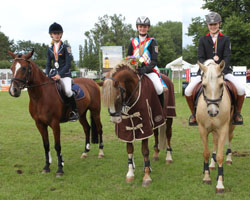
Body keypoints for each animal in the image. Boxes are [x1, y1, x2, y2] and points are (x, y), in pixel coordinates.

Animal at [197, 59, 234, 194]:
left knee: (230, 137)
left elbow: (220, 156)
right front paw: (206, 177)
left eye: (221, 85)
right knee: (214, 141)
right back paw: (212, 165)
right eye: (204, 86)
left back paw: (229, 158)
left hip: (230, 125)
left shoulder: (223, 129)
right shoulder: (202, 129)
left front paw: (220, 184)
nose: (213, 112)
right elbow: (206, 153)